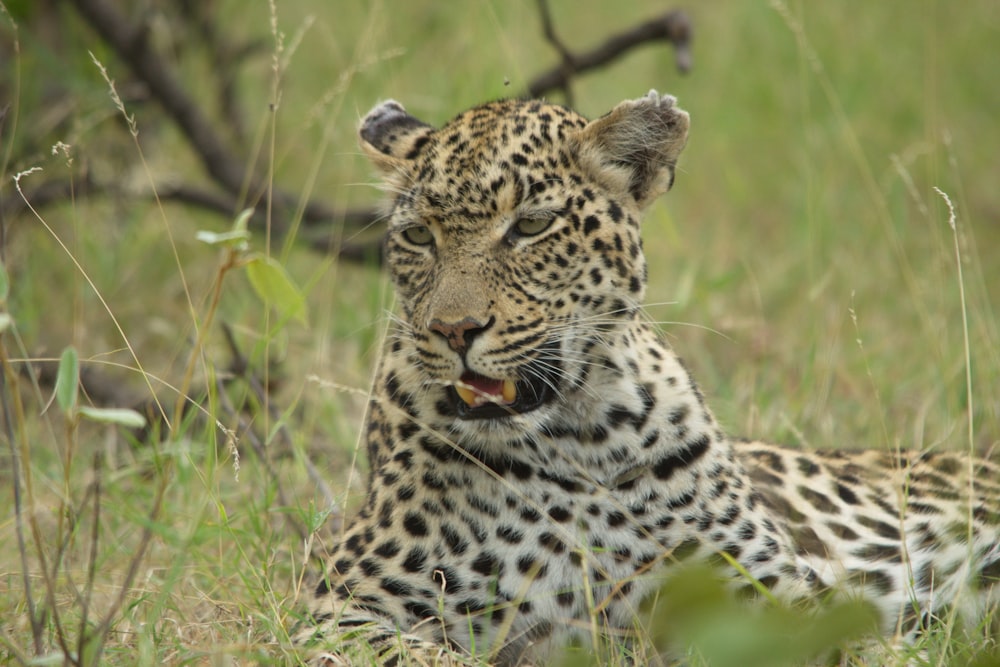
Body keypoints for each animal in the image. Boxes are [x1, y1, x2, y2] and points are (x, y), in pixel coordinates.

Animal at [298, 91, 1000, 664]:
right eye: (419, 235)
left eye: (530, 225)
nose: (454, 330)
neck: (574, 438)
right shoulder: (343, 607)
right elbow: (425, 655)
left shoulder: (782, 599)